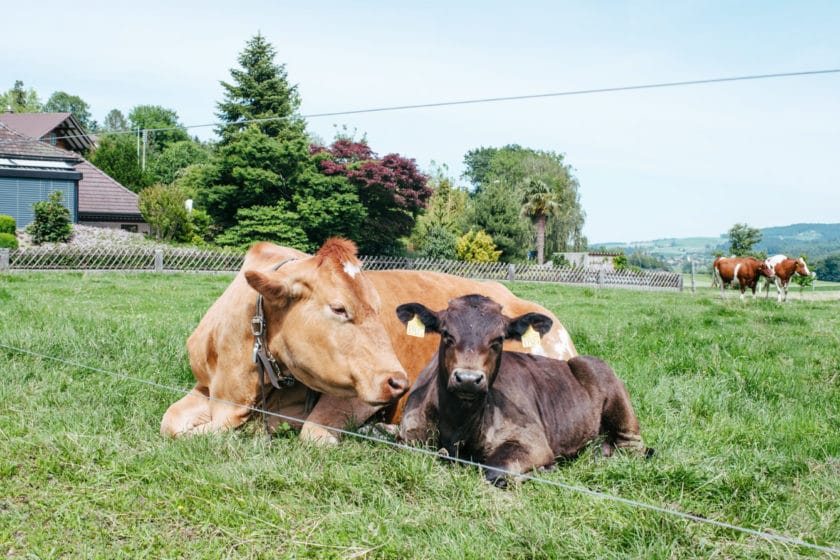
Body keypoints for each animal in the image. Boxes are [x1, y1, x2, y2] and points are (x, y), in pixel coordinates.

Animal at [396, 294, 648, 486]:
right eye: (447, 334)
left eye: (498, 340)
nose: (468, 379)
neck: (458, 427)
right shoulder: (409, 435)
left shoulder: (533, 442)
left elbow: (495, 470)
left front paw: (545, 470)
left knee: (632, 447)